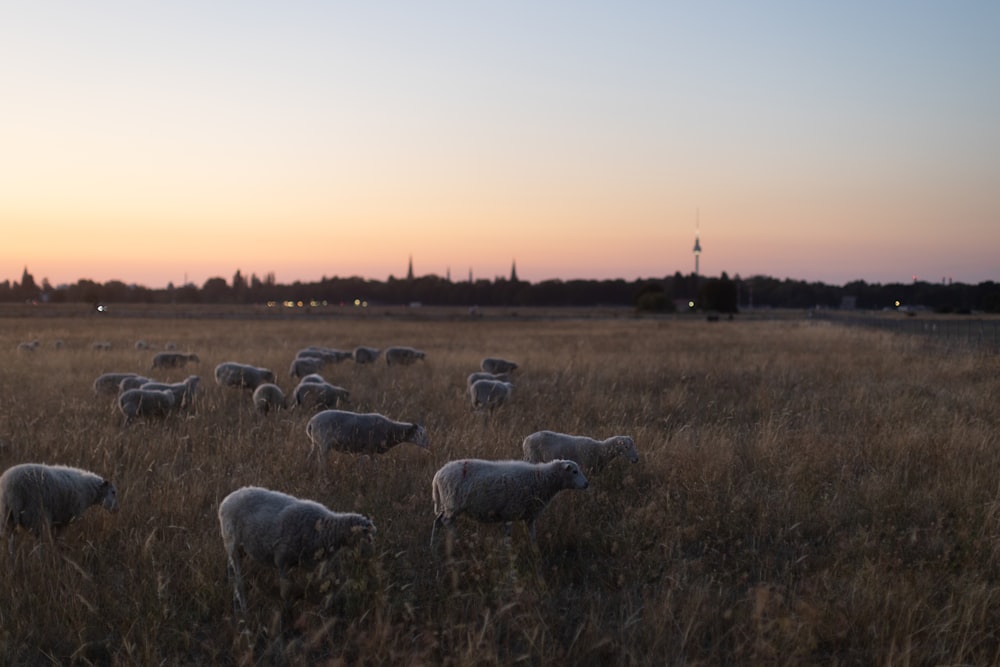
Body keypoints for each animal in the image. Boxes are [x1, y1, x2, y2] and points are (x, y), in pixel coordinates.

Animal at [218, 486, 376, 616]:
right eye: (367, 538)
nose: (370, 559)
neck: (325, 530)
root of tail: (226, 501)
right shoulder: (282, 560)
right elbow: (286, 592)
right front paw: (287, 615)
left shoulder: (315, 565)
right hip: (233, 544)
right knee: (239, 580)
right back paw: (244, 609)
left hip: (238, 550)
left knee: (232, 573)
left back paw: (235, 604)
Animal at [428, 460, 584, 548]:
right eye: (574, 471)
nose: (586, 484)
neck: (540, 479)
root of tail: (438, 474)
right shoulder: (509, 512)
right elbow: (507, 537)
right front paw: (507, 554)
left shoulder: (529, 516)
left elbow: (532, 537)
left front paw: (535, 552)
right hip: (453, 504)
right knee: (446, 521)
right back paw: (457, 539)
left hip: (446, 504)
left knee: (437, 521)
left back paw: (433, 547)